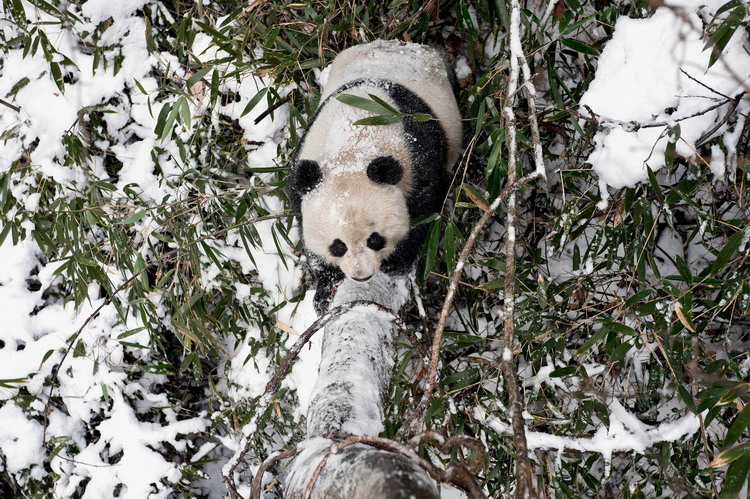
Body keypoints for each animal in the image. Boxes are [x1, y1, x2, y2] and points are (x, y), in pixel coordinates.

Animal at [290, 39, 462, 314]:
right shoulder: (305, 168)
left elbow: (425, 209)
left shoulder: (416, 154)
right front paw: (324, 290)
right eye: (338, 246)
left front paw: (396, 263)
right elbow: (305, 228)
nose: (361, 276)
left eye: (375, 239)